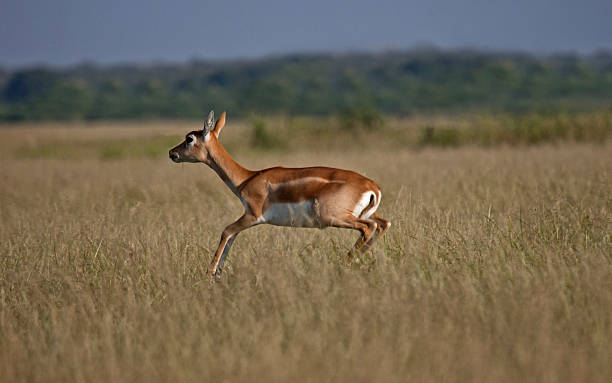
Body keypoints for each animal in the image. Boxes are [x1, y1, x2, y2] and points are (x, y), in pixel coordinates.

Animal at [169, 111, 388, 280]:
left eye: (189, 139)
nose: (172, 153)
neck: (247, 178)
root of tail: (372, 187)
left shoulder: (252, 216)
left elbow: (226, 231)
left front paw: (210, 273)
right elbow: (232, 236)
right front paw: (218, 274)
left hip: (335, 217)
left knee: (369, 227)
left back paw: (346, 262)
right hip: (362, 215)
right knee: (382, 224)